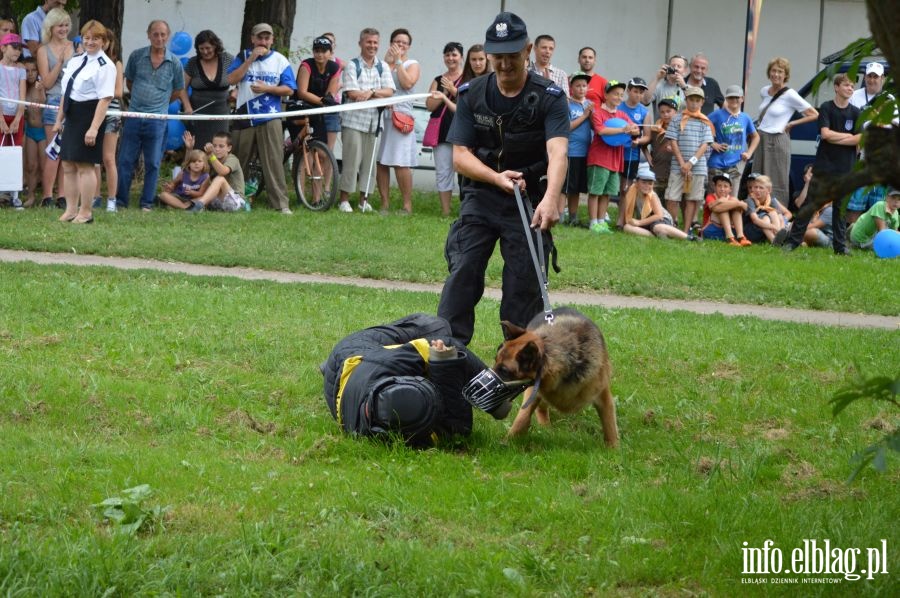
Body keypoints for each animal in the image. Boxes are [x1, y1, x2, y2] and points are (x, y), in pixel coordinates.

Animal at [496, 310, 616, 446]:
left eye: (504, 371)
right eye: (495, 360)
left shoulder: (603, 395)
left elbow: (609, 425)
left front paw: (613, 448)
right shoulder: (534, 390)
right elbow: (523, 416)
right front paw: (509, 440)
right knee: (540, 409)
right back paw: (545, 426)